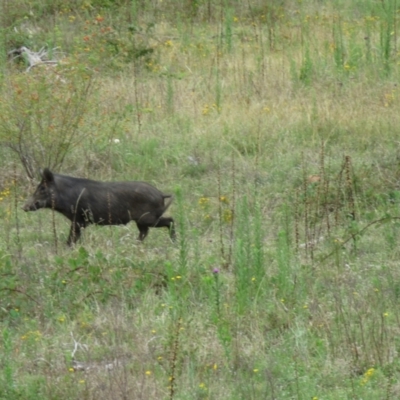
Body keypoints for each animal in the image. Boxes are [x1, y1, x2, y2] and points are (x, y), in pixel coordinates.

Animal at [22, 168, 176, 245]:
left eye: (42, 188)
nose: (24, 207)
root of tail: (161, 194)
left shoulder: (79, 219)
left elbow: (72, 237)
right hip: (142, 221)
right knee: (144, 232)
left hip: (148, 218)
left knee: (170, 220)